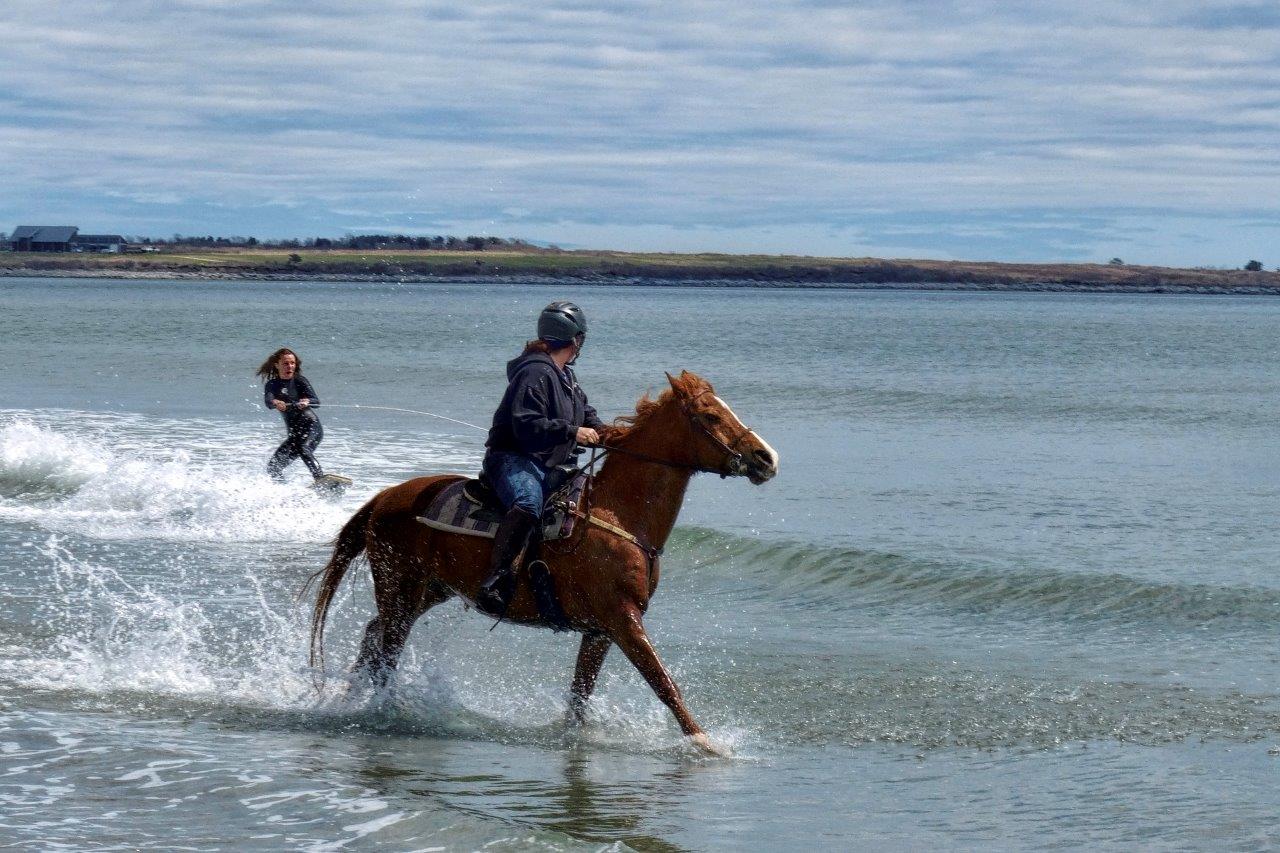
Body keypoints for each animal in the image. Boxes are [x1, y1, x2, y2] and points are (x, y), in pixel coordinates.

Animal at [307, 370, 779, 755]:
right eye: (710, 415)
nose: (767, 458)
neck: (615, 515)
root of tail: (386, 497)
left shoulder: (601, 630)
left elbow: (581, 693)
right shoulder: (623, 620)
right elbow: (664, 684)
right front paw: (706, 743)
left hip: (427, 592)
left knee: (373, 637)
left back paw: (352, 700)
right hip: (399, 590)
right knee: (386, 648)